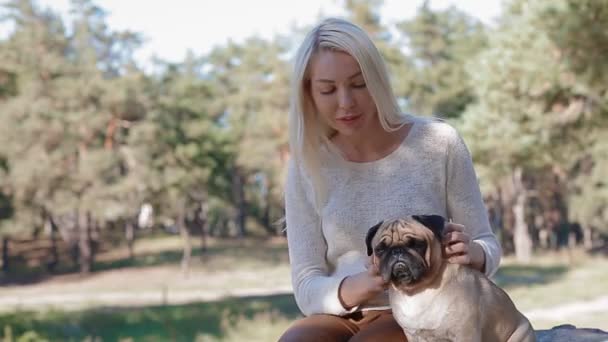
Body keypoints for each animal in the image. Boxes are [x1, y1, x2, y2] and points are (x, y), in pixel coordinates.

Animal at [366, 215, 532, 340]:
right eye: (380, 249)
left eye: (417, 244)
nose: (397, 251)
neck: (417, 291)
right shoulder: (414, 336)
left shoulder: (465, 334)